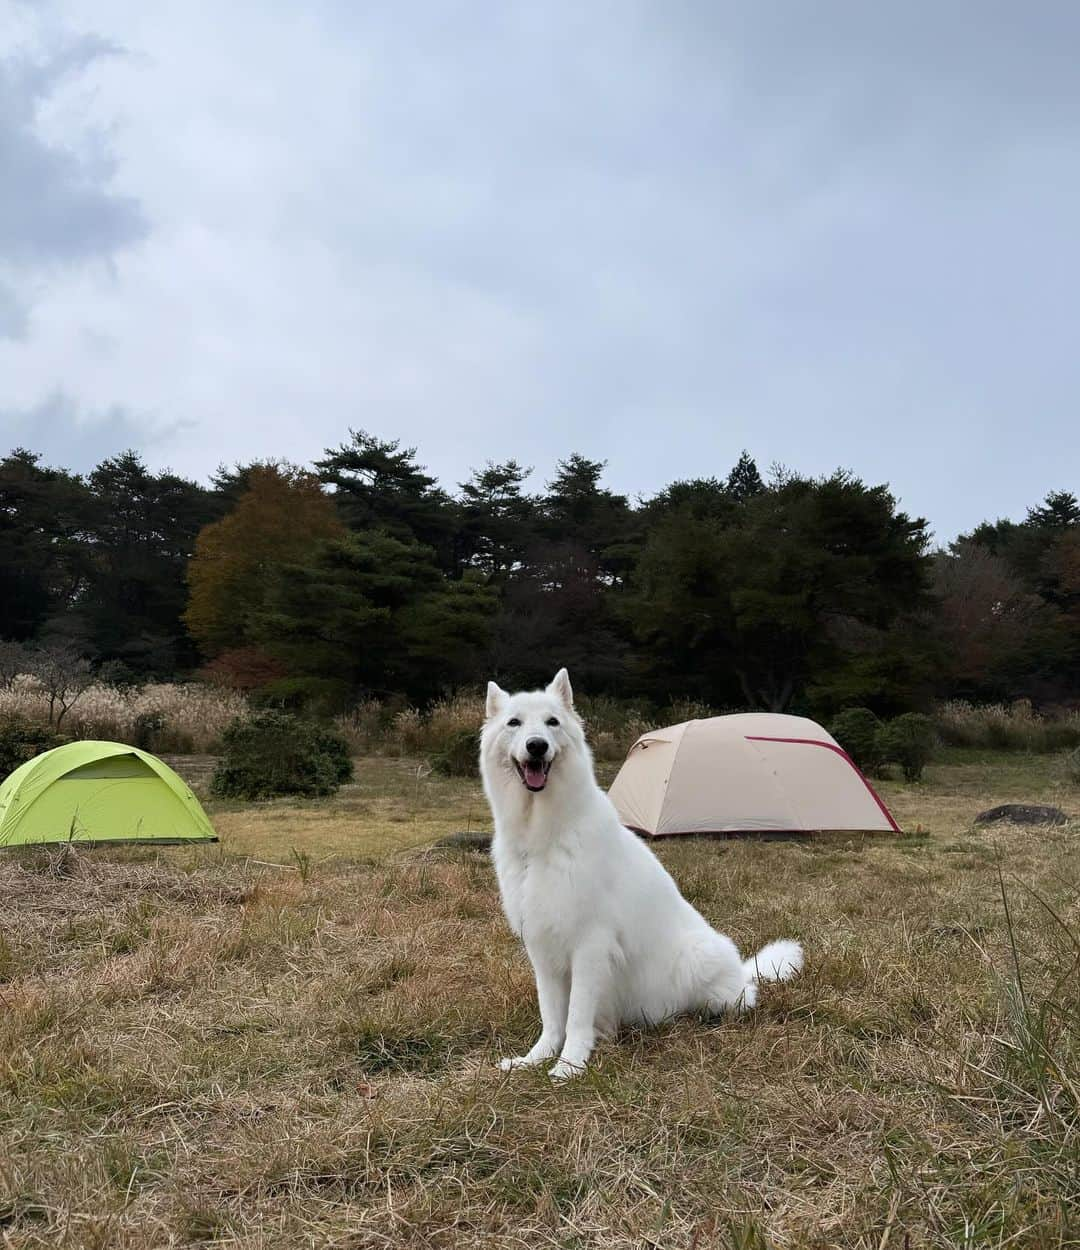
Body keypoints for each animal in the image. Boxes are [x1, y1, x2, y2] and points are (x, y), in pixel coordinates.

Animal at [480, 670, 800, 1080]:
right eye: (514, 723)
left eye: (552, 722)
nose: (537, 747)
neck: (544, 837)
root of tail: (743, 972)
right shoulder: (542, 948)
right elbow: (551, 1016)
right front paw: (535, 1059)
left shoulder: (589, 946)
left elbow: (576, 1017)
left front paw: (569, 1066)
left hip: (696, 961)